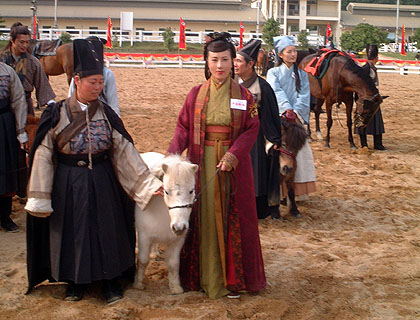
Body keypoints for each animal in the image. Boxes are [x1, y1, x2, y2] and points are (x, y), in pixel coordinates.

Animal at [135, 152, 199, 296]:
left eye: (191, 190)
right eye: (166, 191)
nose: (179, 227)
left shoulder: (177, 240)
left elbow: (174, 264)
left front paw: (175, 287)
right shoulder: (144, 237)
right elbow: (143, 260)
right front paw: (138, 283)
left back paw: (155, 253)